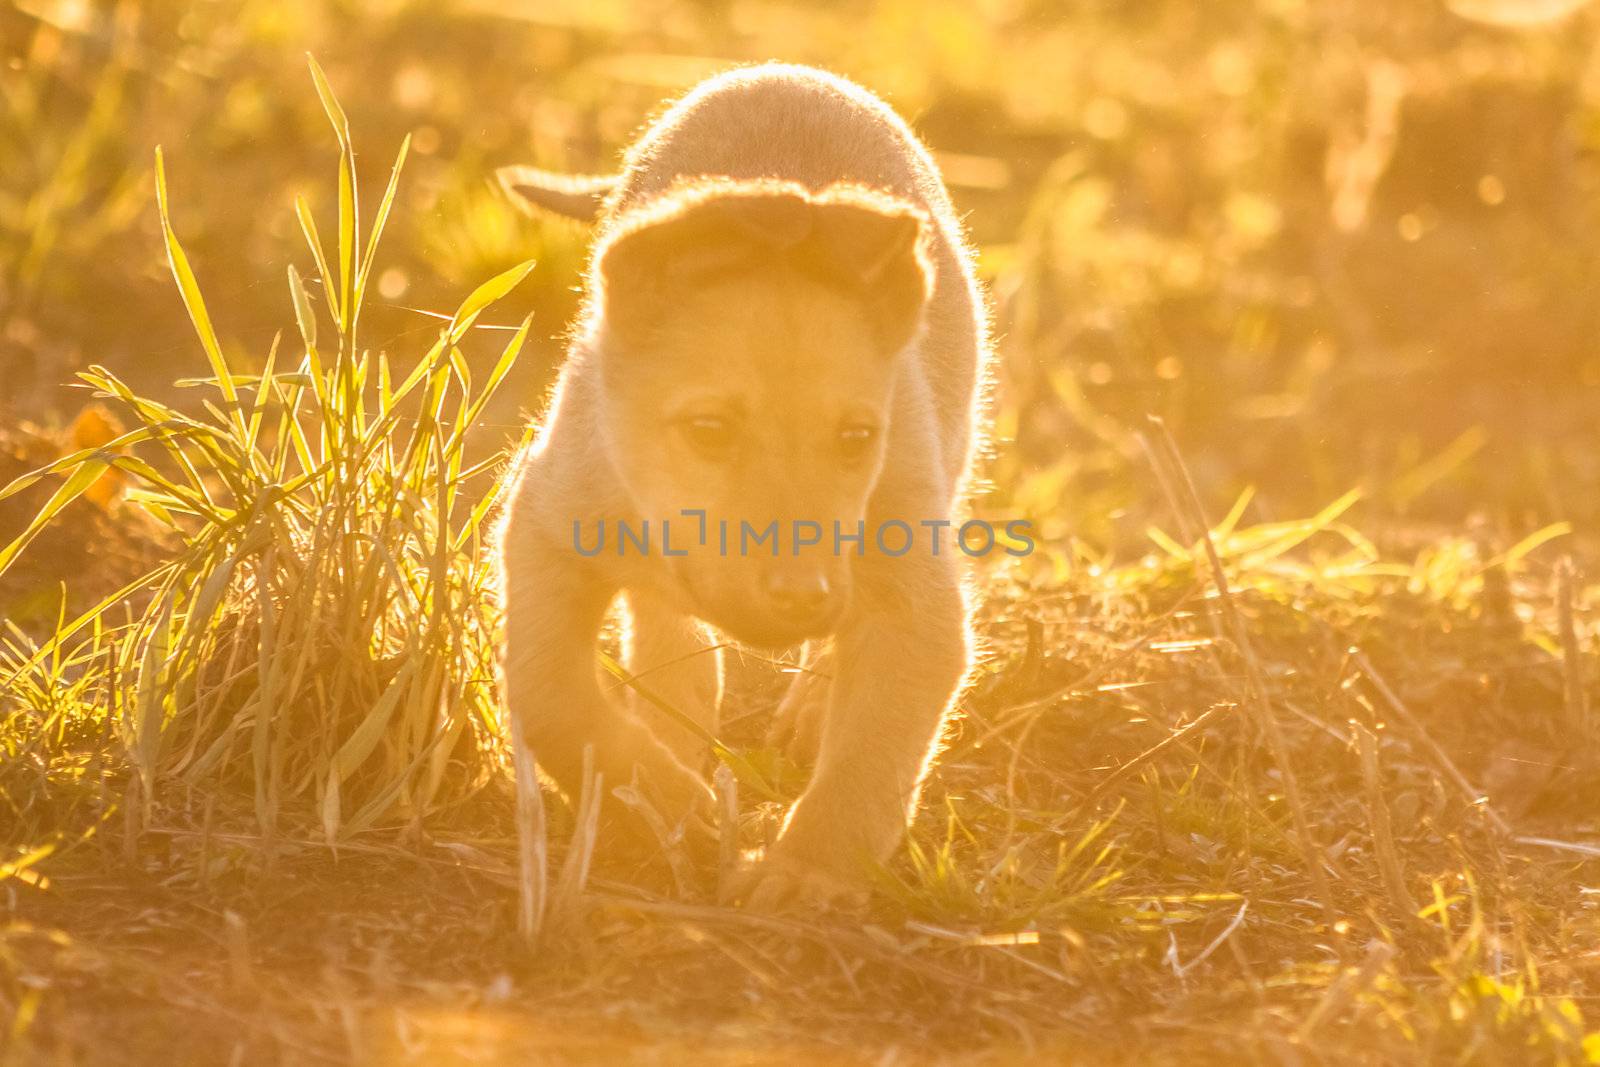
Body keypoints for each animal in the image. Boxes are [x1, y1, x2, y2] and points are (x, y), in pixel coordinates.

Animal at [499, 62, 992, 908]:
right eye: (708, 430)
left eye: (857, 437)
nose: (800, 596)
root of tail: (780, 73)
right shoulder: (543, 526)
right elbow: (551, 694)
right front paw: (654, 798)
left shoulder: (918, 600)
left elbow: (875, 756)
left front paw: (808, 871)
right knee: (662, 623)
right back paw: (678, 713)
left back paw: (806, 709)